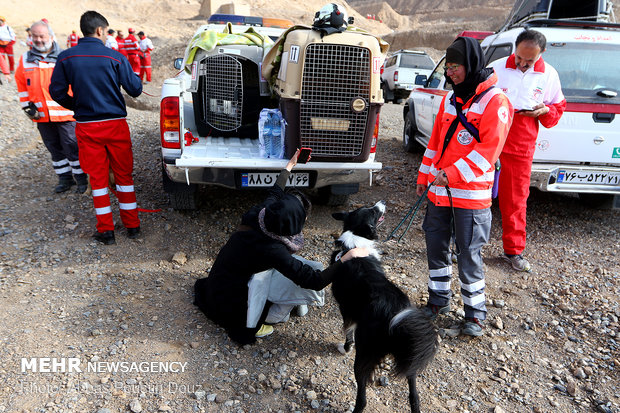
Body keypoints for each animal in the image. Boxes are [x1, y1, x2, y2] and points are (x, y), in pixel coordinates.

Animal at [332, 200, 438, 412]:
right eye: (372, 211)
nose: (382, 203)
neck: (355, 236)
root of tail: (394, 316)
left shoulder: (346, 309)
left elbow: (347, 330)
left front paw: (345, 347)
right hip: (411, 358)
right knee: (414, 395)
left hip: (364, 353)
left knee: (362, 398)